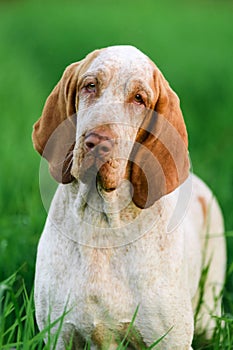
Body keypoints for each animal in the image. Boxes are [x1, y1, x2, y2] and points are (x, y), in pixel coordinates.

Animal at [32, 46, 226, 350]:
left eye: (139, 98)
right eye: (90, 86)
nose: (97, 142)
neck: (103, 222)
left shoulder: (171, 340)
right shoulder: (59, 335)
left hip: (209, 314)